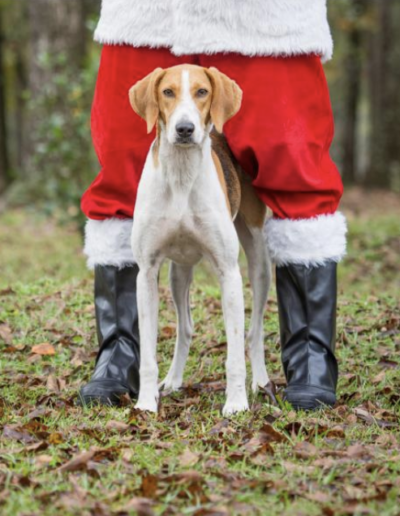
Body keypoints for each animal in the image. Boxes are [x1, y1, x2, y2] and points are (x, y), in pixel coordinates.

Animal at [128, 64, 272, 416]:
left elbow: (234, 353)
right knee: (186, 327)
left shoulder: (228, 272)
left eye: (202, 92)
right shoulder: (146, 273)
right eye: (167, 92)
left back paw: (261, 382)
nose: (184, 128)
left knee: (254, 331)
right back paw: (173, 380)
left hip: (258, 262)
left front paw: (236, 403)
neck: (181, 174)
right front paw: (146, 402)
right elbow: (148, 354)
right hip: (177, 273)